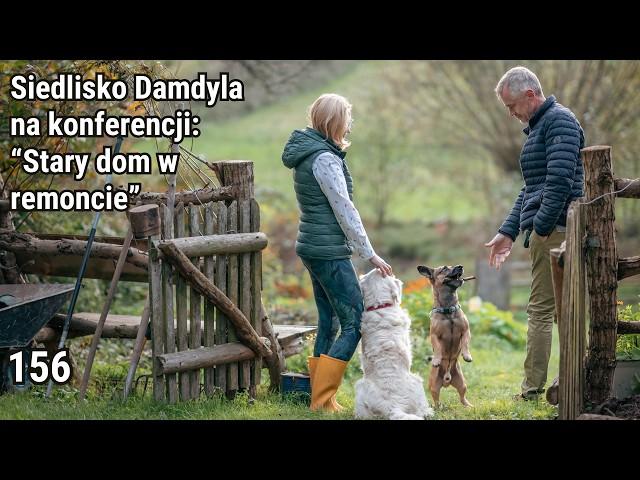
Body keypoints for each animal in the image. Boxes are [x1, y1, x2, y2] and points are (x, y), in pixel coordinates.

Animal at [356, 270, 436, 420]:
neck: (379, 307)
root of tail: (393, 406)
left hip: (360, 387)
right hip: (417, 381)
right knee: (421, 410)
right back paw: (429, 411)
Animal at [418, 264, 472, 406]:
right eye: (444, 269)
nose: (460, 266)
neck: (448, 310)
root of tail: (447, 379)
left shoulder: (466, 331)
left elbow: (465, 343)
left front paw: (467, 355)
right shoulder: (434, 336)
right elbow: (437, 348)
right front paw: (436, 360)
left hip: (462, 384)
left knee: (462, 398)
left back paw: (469, 406)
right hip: (434, 387)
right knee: (436, 401)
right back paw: (439, 407)